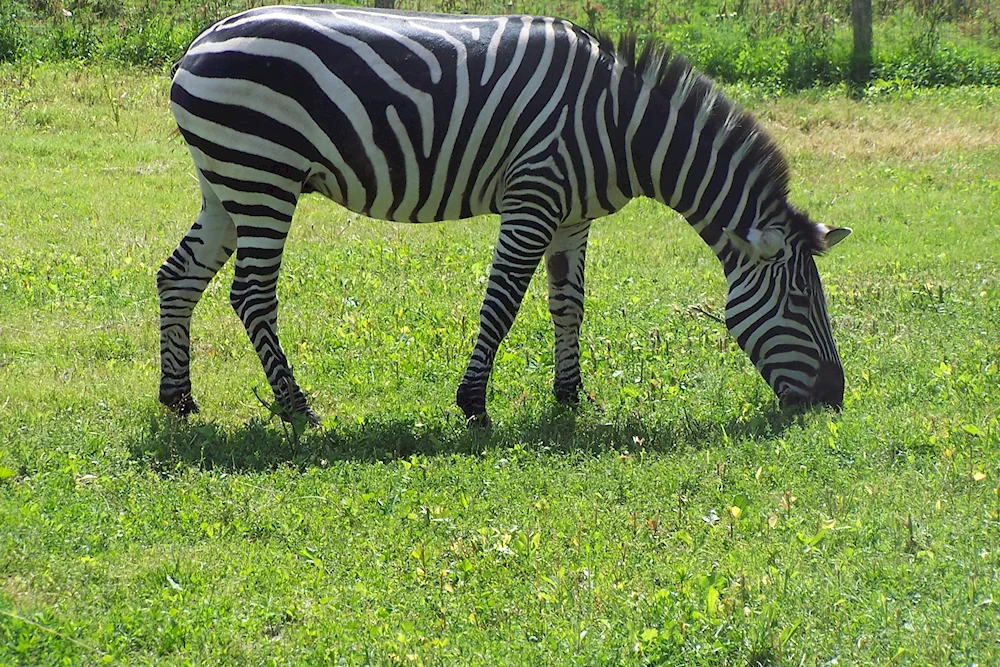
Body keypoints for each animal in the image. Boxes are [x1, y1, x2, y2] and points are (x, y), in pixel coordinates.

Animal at [158, 5, 852, 426]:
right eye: (801, 301)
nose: (834, 399)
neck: (622, 127)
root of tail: (201, 40)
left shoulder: (573, 216)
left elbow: (568, 304)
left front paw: (570, 397)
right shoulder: (533, 196)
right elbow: (504, 300)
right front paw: (473, 404)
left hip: (227, 182)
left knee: (177, 277)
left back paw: (179, 399)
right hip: (263, 175)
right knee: (251, 293)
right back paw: (297, 406)